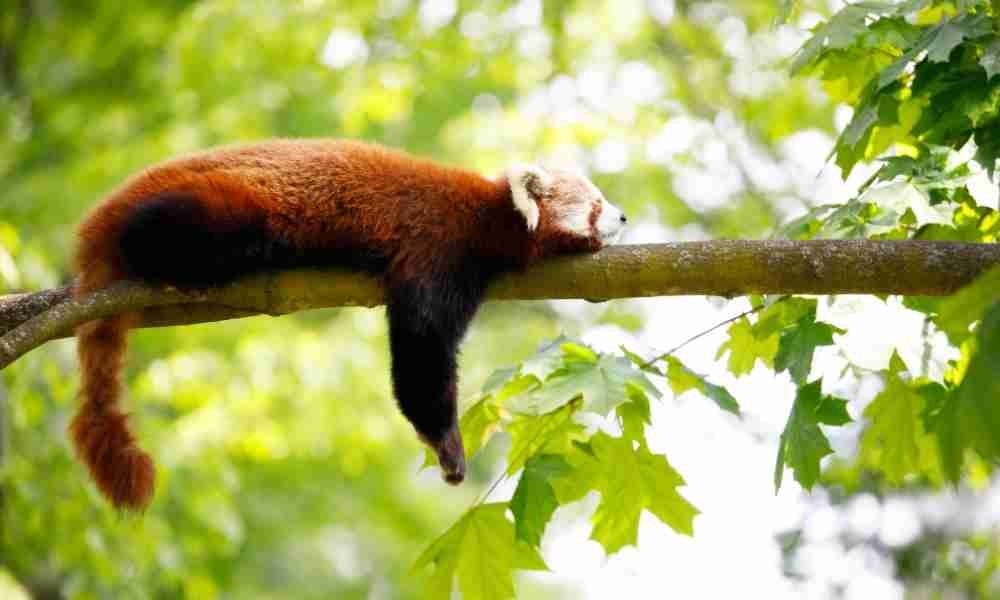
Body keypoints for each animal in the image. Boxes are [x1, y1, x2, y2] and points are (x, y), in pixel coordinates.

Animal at [72, 138, 624, 508]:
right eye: (596, 202)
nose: (622, 217)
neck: (490, 215)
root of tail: (103, 214)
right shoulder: (439, 247)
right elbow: (421, 349)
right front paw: (447, 445)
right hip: (226, 204)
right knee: (174, 224)